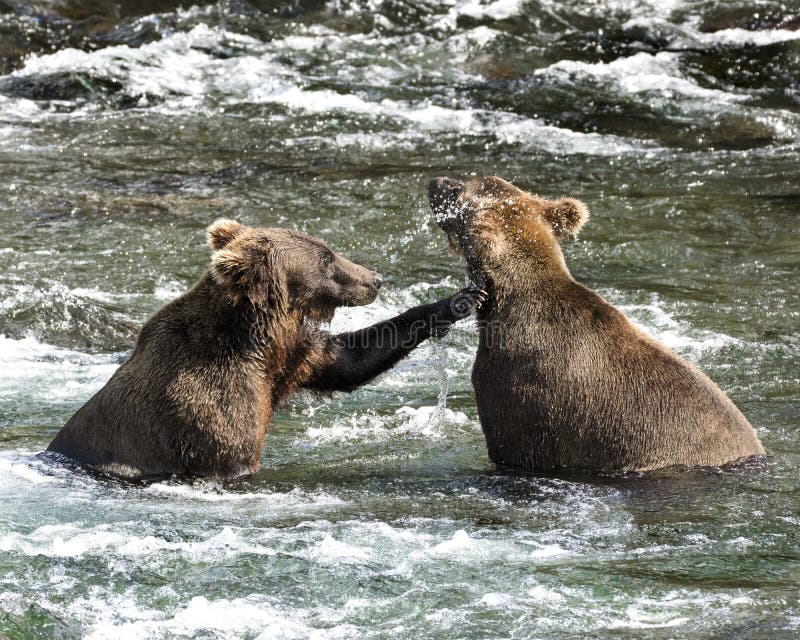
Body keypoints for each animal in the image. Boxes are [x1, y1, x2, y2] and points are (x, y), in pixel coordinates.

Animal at [50, 220, 482, 480]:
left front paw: (459, 300)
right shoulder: (211, 407)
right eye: (326, 260)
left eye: (328, 248)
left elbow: (347, 360)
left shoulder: (292, 357)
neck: (255, 343)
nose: (375, 278)